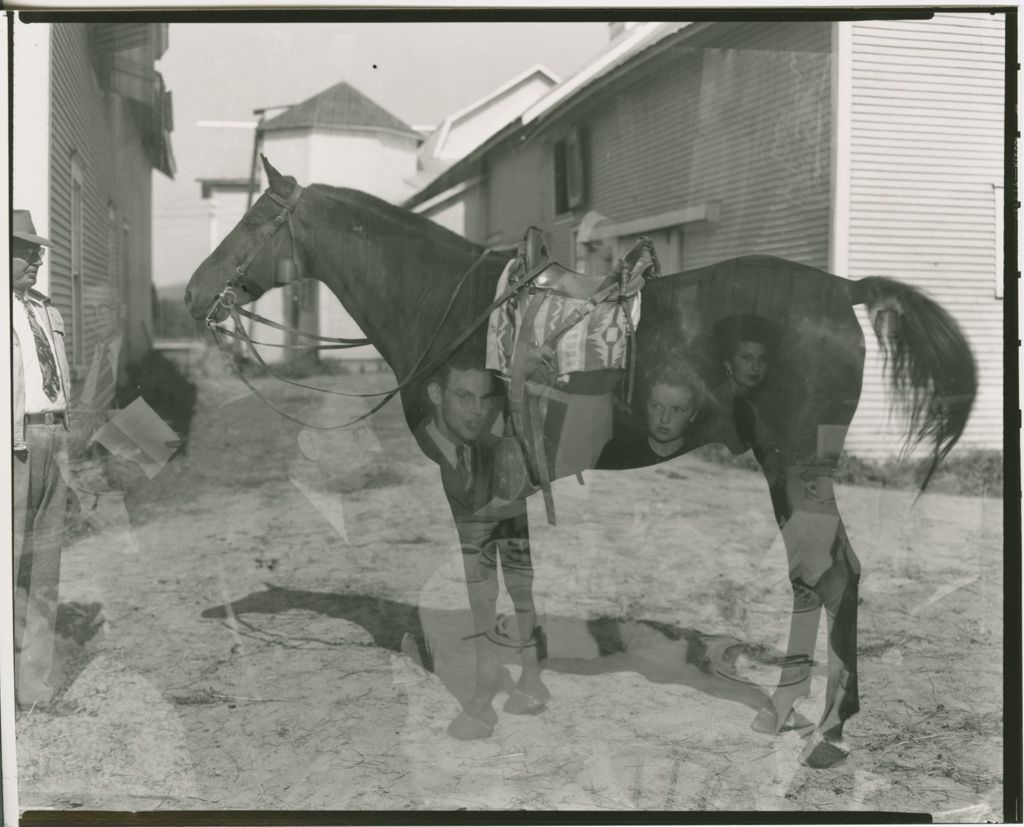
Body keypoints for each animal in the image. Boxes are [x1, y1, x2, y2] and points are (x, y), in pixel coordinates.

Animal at [184, 159, 974, 769]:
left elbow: (480, 589)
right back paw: (799, 713)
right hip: (792, 476)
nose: (193, 294)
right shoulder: (509, 479)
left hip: (795, 468)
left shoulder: (466, 476)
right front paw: (528, 690)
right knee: (828, 577)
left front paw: (479, 707)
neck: (451, 311)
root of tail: (842, 289)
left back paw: (821, 730)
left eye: (256, 221)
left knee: (829, 578)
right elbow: (520, 578)